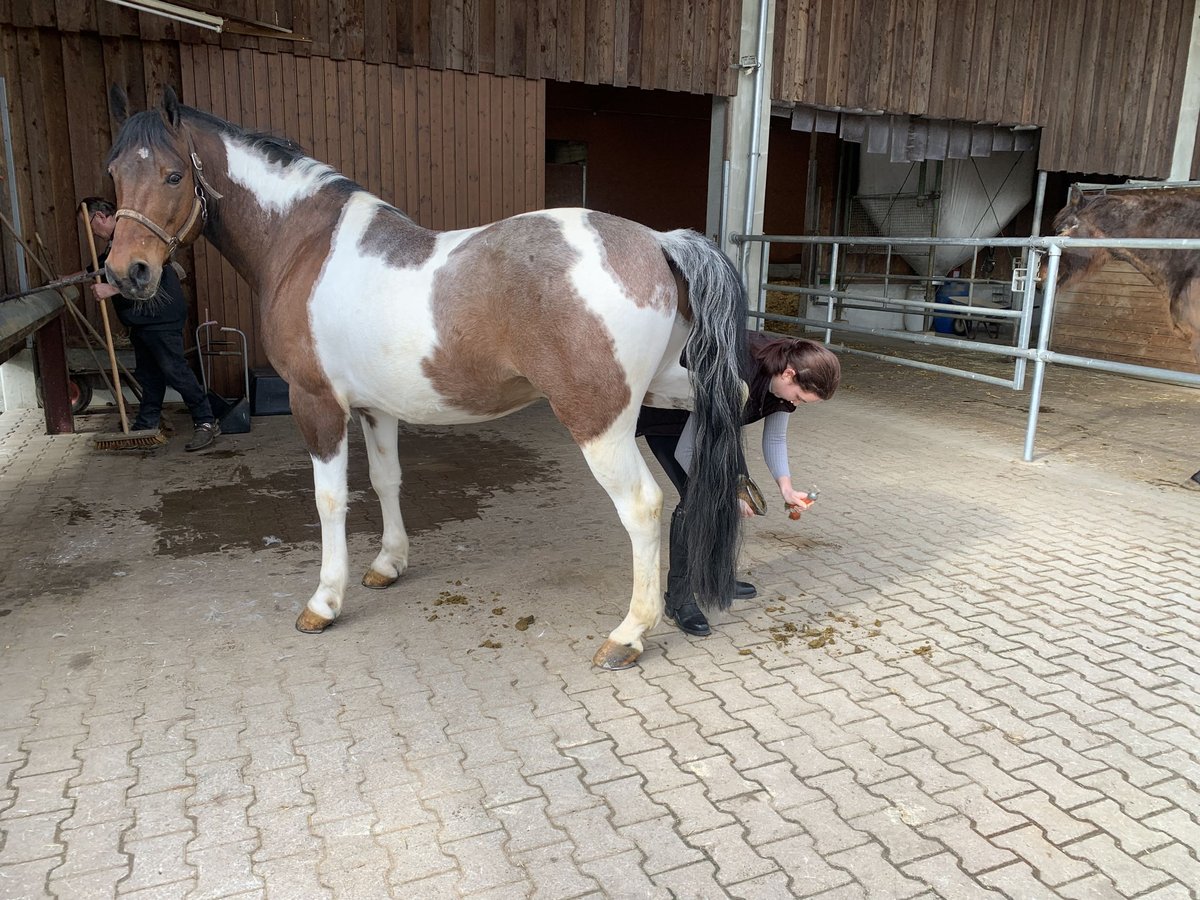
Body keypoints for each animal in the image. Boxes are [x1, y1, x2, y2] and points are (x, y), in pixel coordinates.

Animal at [100, 88, 748, 672]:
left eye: (173, 175)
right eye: (114, 175)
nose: (127, 273)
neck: (304, 245)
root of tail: (657, 242)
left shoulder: (317, 405)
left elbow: (330, 499)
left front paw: (324, 602)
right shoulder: (375, 409)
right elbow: (386, 481)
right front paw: (388, 564)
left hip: (599, 421)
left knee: (643, 505)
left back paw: (628, 635)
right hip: (672, 390)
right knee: (725, 432)